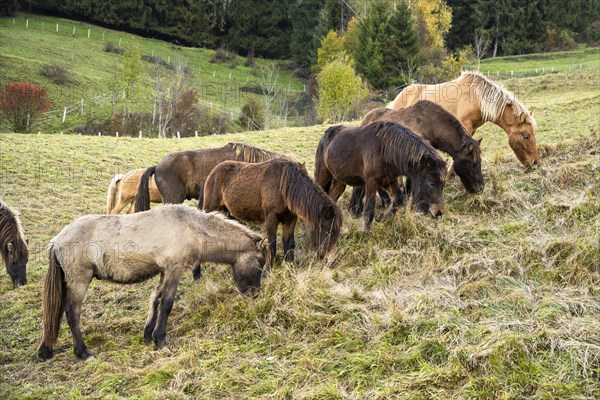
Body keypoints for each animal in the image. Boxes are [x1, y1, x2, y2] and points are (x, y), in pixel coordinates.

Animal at [37, 205, 270, 360]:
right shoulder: (174, 270)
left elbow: (156, 301)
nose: (255, 294)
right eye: (260, 263)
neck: (191, 227)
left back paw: (46, 350)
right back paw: (83, 352)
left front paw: (148, 335)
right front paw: (160, 340)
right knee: (71, 312)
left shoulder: (164, 272)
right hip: (79, 280)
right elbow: (167, 304)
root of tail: (57, 240)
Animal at [203, 158, 340, 264]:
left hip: (227, 212)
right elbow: (272, 245)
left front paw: (290, 266)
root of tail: (213, 172)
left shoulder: (290, 220)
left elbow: (289, 244)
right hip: (210, 208)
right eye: (329, 231)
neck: (283, 185)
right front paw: (267, 271)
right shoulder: (271, 218)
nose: (329, 260)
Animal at [314, 120, 446, 230]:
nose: (438, 213)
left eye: (443, 184)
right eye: (431, 183)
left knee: (331, 199)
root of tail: (326, 135)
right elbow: (369, 210)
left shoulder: (389, 181)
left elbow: (399, 200)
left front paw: (382, 217)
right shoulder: (371, 182)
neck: (384, 148)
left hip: (339, 182)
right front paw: (365, 233)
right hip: (323, 176)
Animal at [386, 70, 540, 167]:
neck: (477, 97)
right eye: (526, 136)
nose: (535, 162)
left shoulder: (472, 129)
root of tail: (396, 100)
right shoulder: (464, 127)